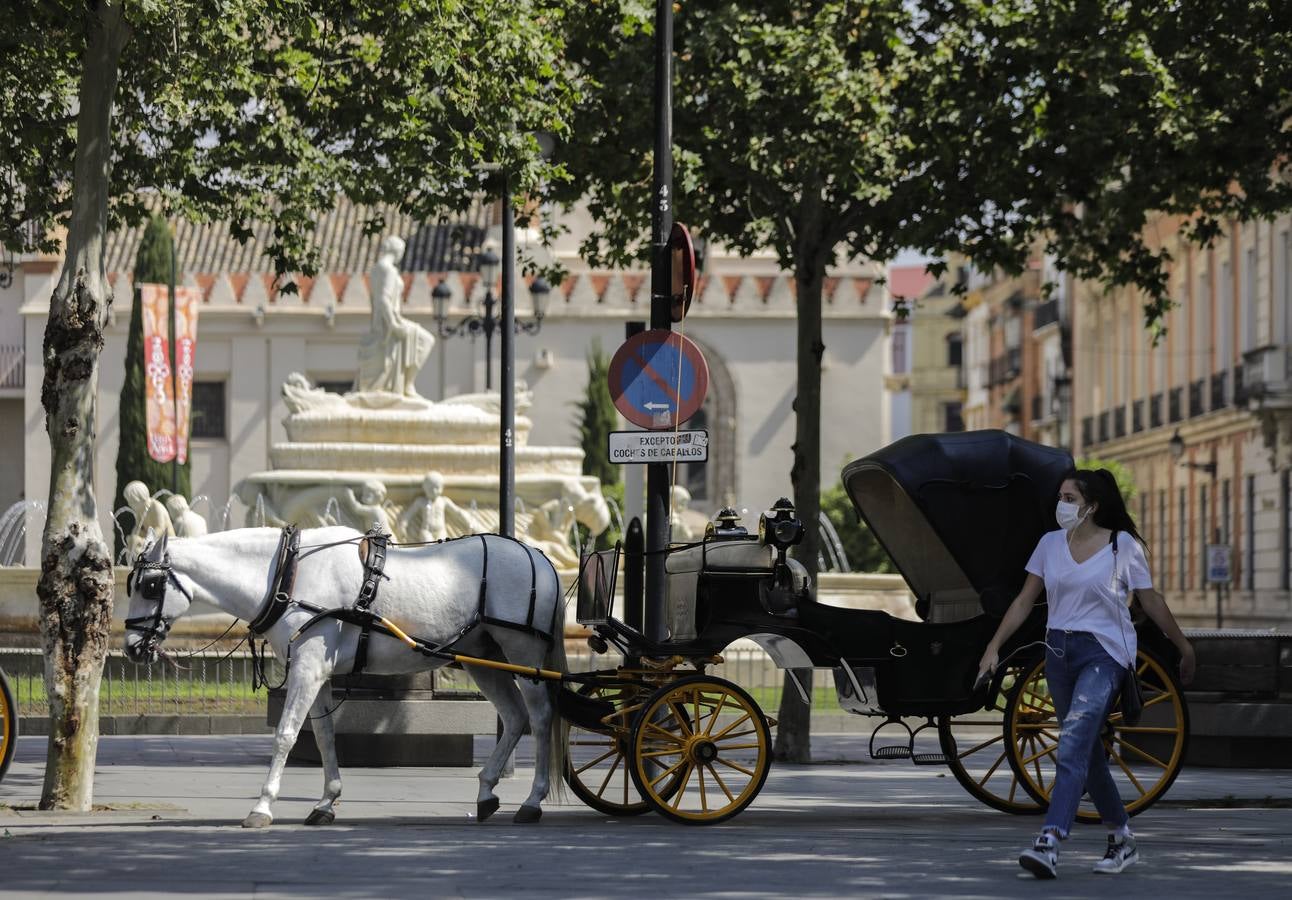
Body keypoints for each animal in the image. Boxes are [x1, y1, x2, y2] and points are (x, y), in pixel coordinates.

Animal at [122, 526, 565, 826]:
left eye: (150, 585)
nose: (130, 647)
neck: (288, 574)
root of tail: (540, 557)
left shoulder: (308, 666)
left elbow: (286, 734)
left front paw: (263, 806)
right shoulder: (315, 670)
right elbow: (323, 736)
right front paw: (326, 802)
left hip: (524, 656)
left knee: (541, 717)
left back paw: (532, 800)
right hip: (482, 659)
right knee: (514, 717)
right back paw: (487, 790)